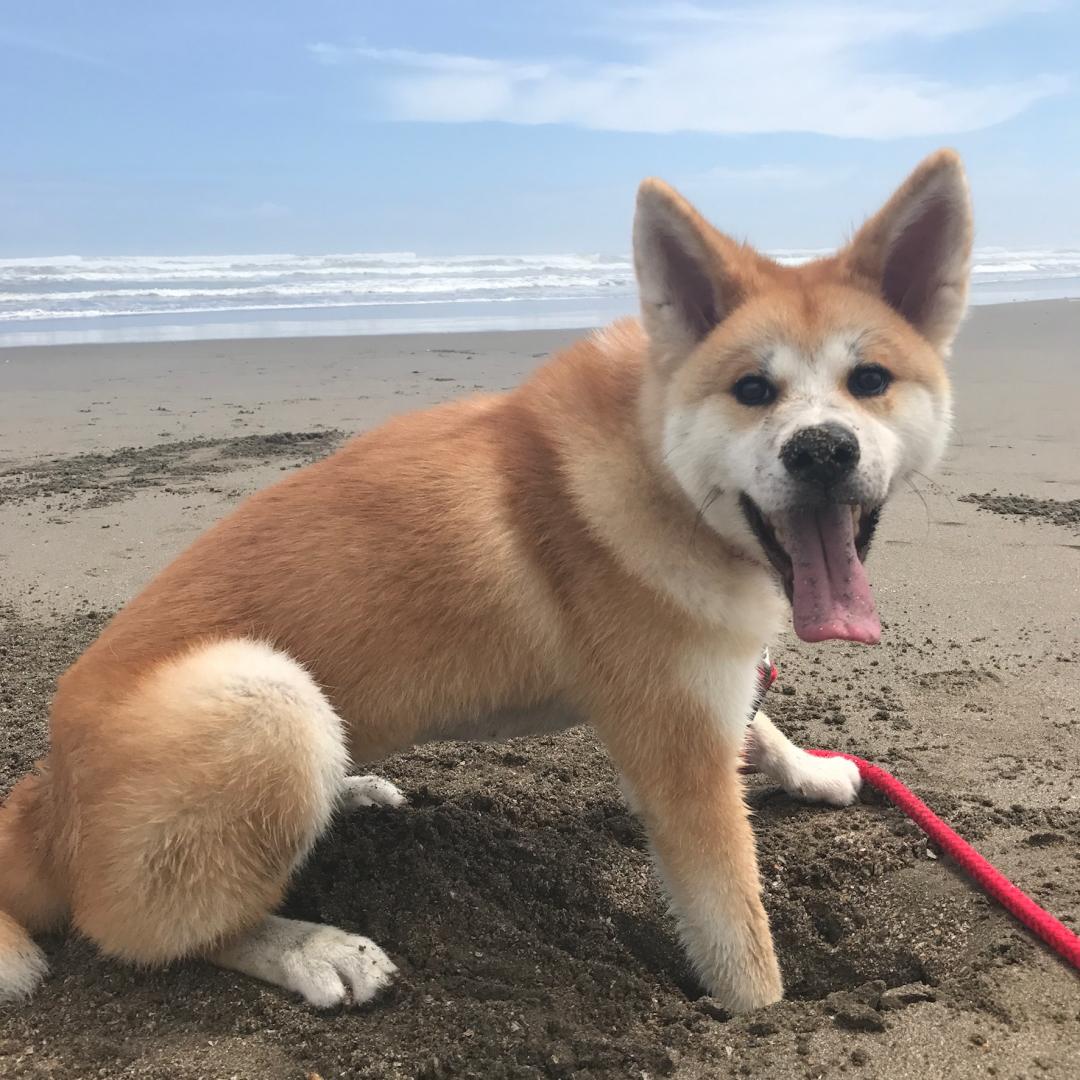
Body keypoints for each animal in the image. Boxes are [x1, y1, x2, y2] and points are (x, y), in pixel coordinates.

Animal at [0, 150, 976, 1010]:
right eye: (751, 391)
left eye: (871, 380)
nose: (822, 450)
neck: (655, 462)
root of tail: (46, 799)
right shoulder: (679, 756)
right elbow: (738, 935)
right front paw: (762, 1017)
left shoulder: (706, 686)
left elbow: (760, 724)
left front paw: (811, 772)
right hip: (264, 698)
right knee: (146, 931)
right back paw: (309, 946)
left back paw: (349, 793)